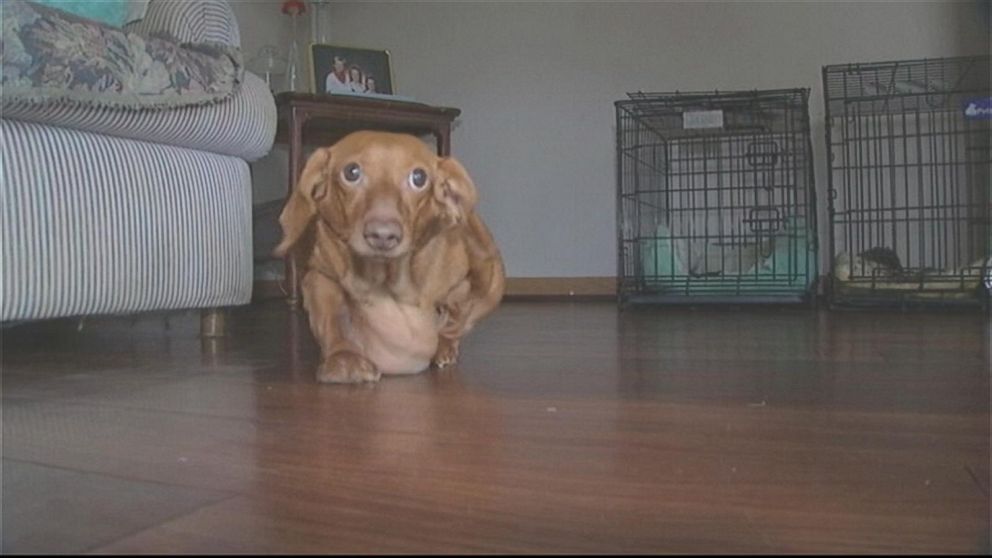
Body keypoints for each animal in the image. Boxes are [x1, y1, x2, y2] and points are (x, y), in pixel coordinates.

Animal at [272, 132, 504, 384]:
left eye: (419, 177)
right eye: (351, 172)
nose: (383, 235)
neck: (385, 279)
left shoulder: (475, 284)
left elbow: (458, 317)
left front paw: (443, 343)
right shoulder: (319, 276)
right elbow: (330, 316)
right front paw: (343, 357)